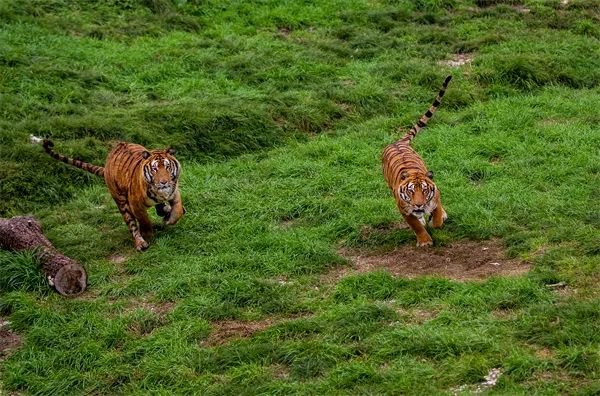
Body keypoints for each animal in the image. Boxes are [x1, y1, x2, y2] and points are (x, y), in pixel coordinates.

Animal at [43, 139, 184, 251]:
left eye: (167, 167)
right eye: (155, 169)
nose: (163, 182)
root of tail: (106, 165)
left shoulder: (174, 192)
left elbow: (178, 211)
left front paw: (170, 219)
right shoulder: (135, 204)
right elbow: (144, 220)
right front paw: (148, 234)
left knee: (160, 208)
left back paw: (166, 210)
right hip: (121, 201)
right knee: (131, 223)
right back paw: (140, 243)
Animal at [382, 75, 452, 246]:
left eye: (425, 190)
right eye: (411, 191)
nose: (419, 204)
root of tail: (398, 141)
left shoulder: (435, 196)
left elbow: (437, 217)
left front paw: (435, 220)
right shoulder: (403, 208)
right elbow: (415, 225)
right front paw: (425, 241)